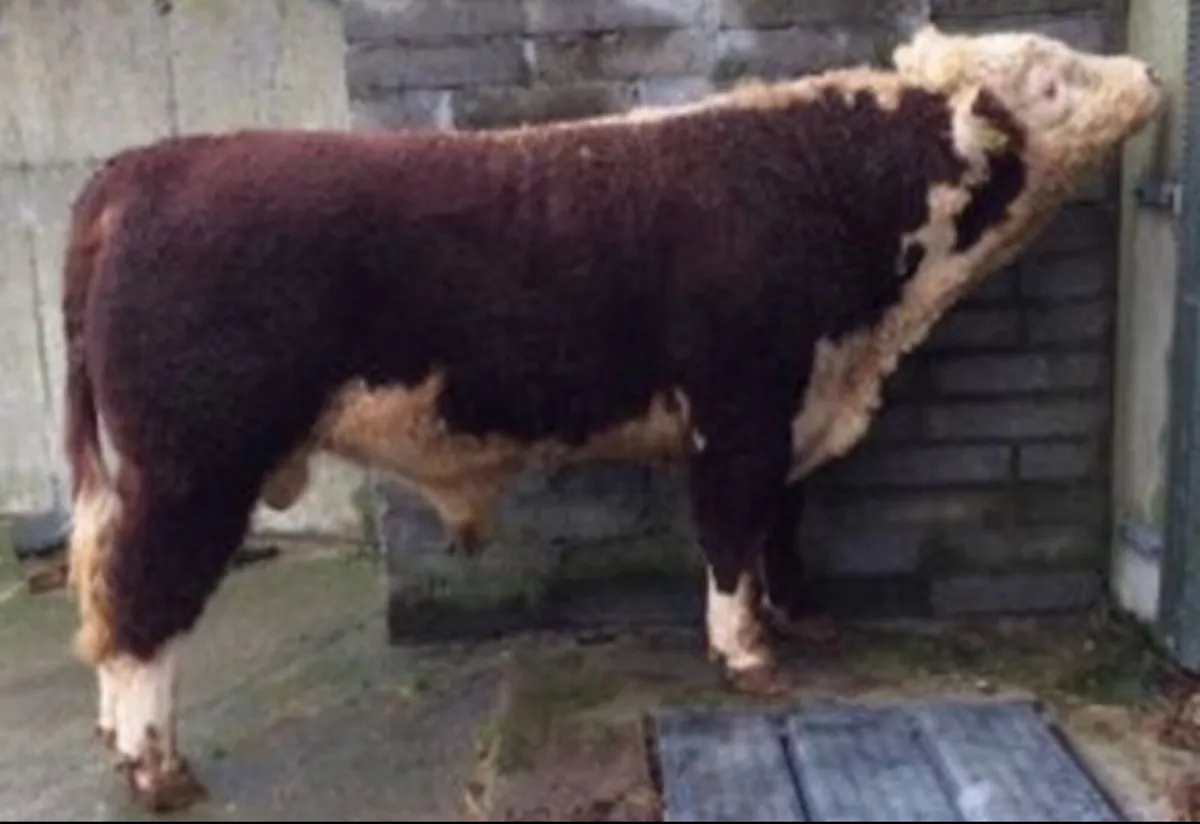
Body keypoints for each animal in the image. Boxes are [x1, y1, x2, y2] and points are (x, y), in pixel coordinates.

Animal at [59, 23, 1162, 812]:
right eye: (1050, 74)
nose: (1151, 69)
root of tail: (143, 166)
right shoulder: (740, 412)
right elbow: (731, 532)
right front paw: (747, 654)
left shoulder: (797, 408)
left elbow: (782, 525)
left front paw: (800, 616)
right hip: (194, 464)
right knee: (142, 604)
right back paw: (158, 769)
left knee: (109, 591)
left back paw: (118, 744)